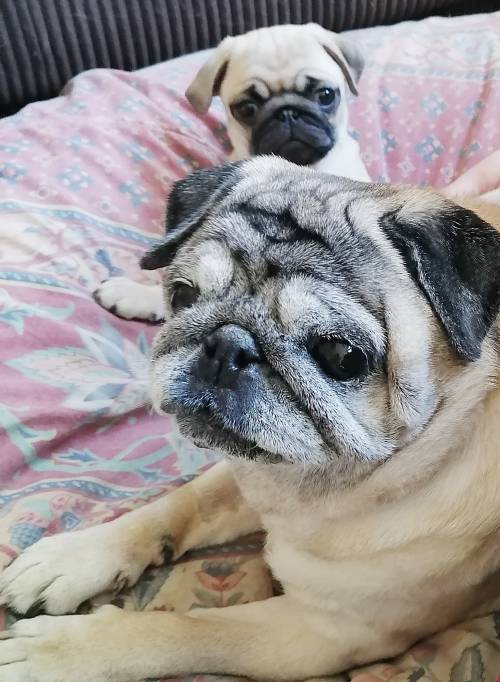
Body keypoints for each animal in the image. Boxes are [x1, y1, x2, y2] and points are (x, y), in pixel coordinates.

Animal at [1, 157, 500, 682]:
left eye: (341, 356)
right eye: (184, 295)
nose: (228, 346)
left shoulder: (325, 633)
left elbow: (186, 627)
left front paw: (59, 652)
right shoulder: (244, 469)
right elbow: (180, 505)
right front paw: (76, 557)